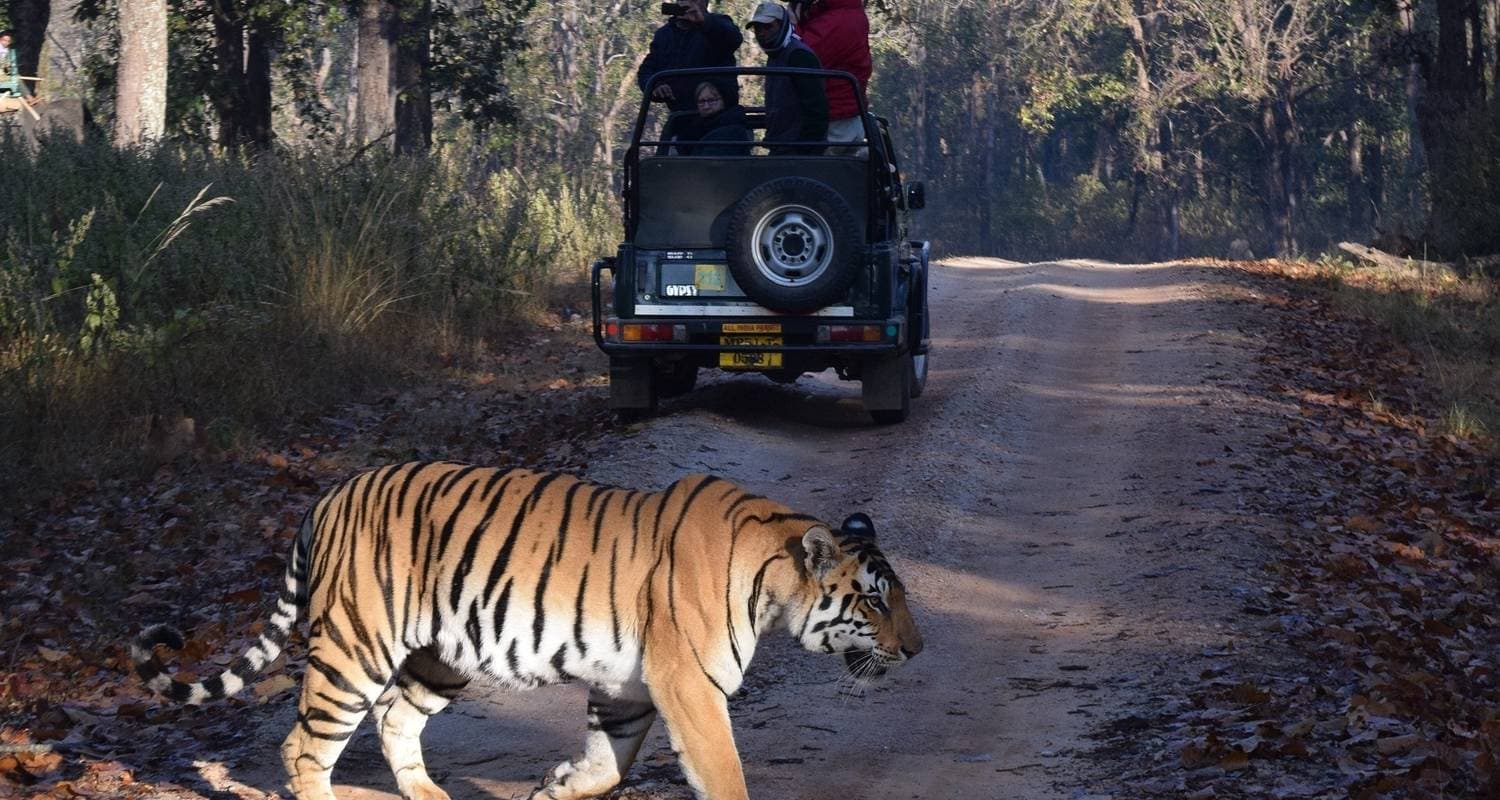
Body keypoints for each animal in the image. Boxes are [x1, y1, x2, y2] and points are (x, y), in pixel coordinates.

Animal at [131, 462, 922, 800]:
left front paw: (558, 785)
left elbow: (611, 763)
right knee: (303, 749)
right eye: (876, 602)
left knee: (395, 719)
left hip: (439, 656)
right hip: (354, 650)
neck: (774, 579)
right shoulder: (690, 685)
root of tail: (326, 496)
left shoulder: (629, 685)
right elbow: (723, 772)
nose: (916, 650)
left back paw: (432, 798)